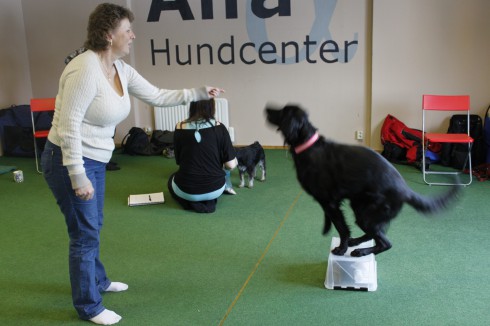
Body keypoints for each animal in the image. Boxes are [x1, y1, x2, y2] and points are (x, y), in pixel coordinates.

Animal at [264, 104, 460, 258]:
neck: (308, 146)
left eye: (282, 111)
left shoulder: (330, 202)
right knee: (375, 234)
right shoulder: (329, 203)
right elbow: (334, 223)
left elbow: (341, 227)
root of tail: (406, 190)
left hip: (365, 213)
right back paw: (356, 243)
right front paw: (330, 231)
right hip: (360, 206)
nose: (266, 107)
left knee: (385, 242)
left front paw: (340, 249)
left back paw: (361, 252)